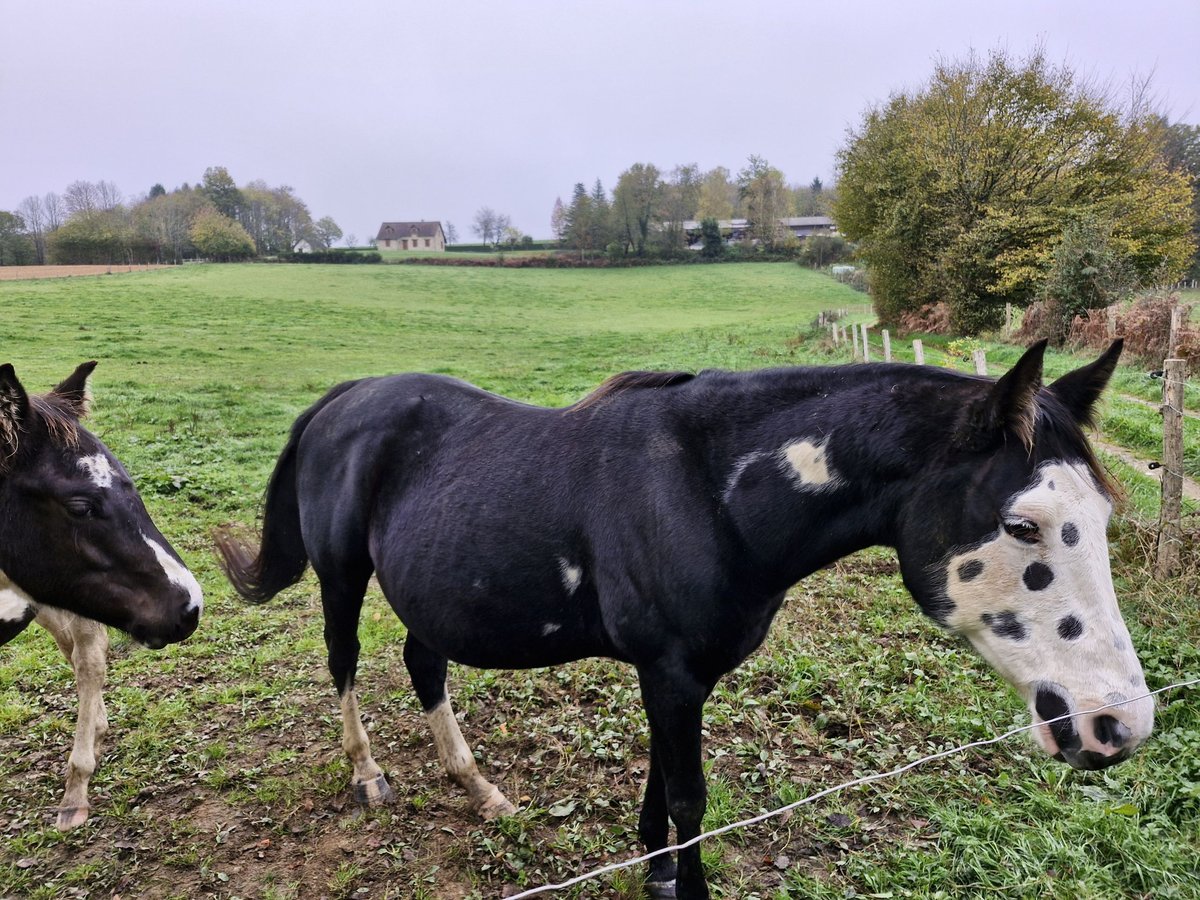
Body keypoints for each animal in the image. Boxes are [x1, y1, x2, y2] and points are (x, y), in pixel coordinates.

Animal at [218, 340, 1152, 897]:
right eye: (1022, 525)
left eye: (1102, 517)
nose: (1119, 724)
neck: (708, 491)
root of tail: (343, 400)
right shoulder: (668, 673)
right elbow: (689, 795)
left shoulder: (675, 679)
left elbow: (662, 785)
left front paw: (656, 871)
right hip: (344, 577)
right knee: (342, 661)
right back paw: (369, 775)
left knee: (424, 664)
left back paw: (478, 788)